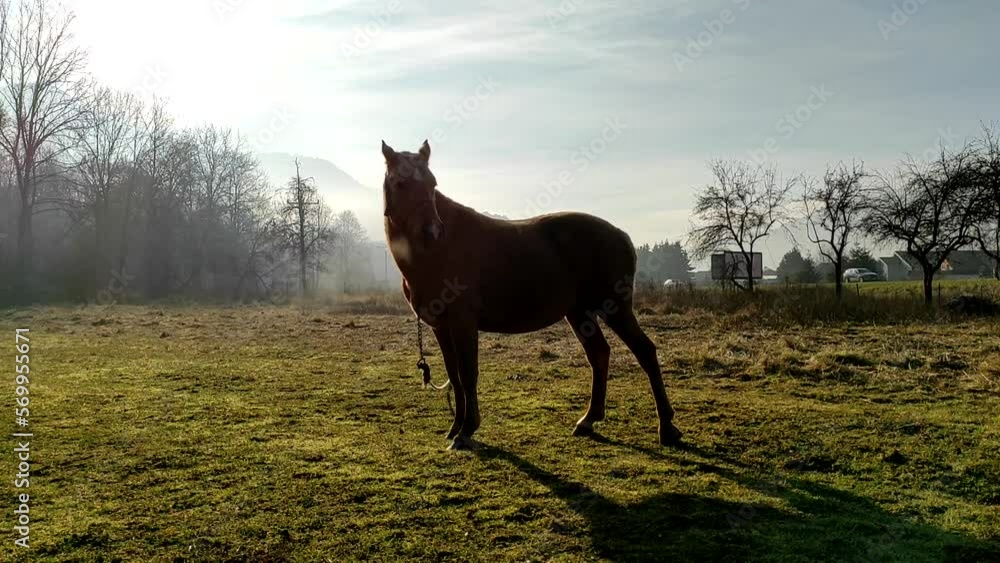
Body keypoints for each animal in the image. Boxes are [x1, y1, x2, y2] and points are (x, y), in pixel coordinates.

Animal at [378, 142, 684, 454]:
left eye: (432, 183)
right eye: (401, 183)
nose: (433, 232)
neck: (438, 253)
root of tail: (621, 235)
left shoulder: (463, 323)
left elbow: (467, 373)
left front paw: (467, 430)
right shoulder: (441, 327)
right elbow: (454, 374)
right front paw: (455, 428)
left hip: (615, 309)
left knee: (645, 352)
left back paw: (666, 427)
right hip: (580, 313)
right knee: (599, 354)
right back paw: (589, 420)